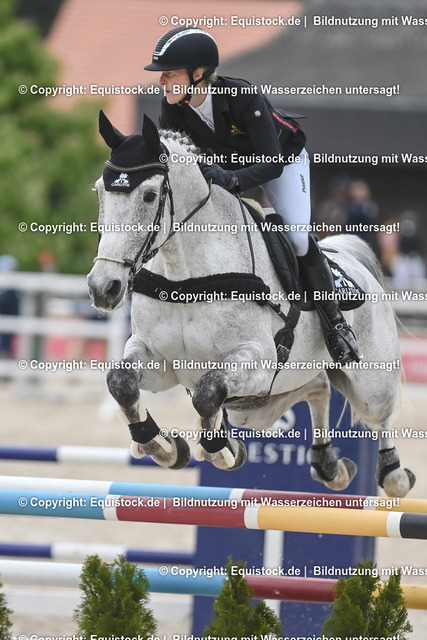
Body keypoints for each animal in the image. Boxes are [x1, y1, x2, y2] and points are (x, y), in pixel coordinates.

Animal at [87, 111, 415, 498]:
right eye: (100, 192)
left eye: (150, 195)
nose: (103, 287)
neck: (185, 276)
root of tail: (348, 256)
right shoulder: (160, 359)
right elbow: (121, 382)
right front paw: (162, 445)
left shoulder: (255, 358)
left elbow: (208, 392)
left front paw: (221, 449)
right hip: (259, 403)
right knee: (316, 387)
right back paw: (328, 465)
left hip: (368, 383)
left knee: (379, 417)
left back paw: (393, 475)